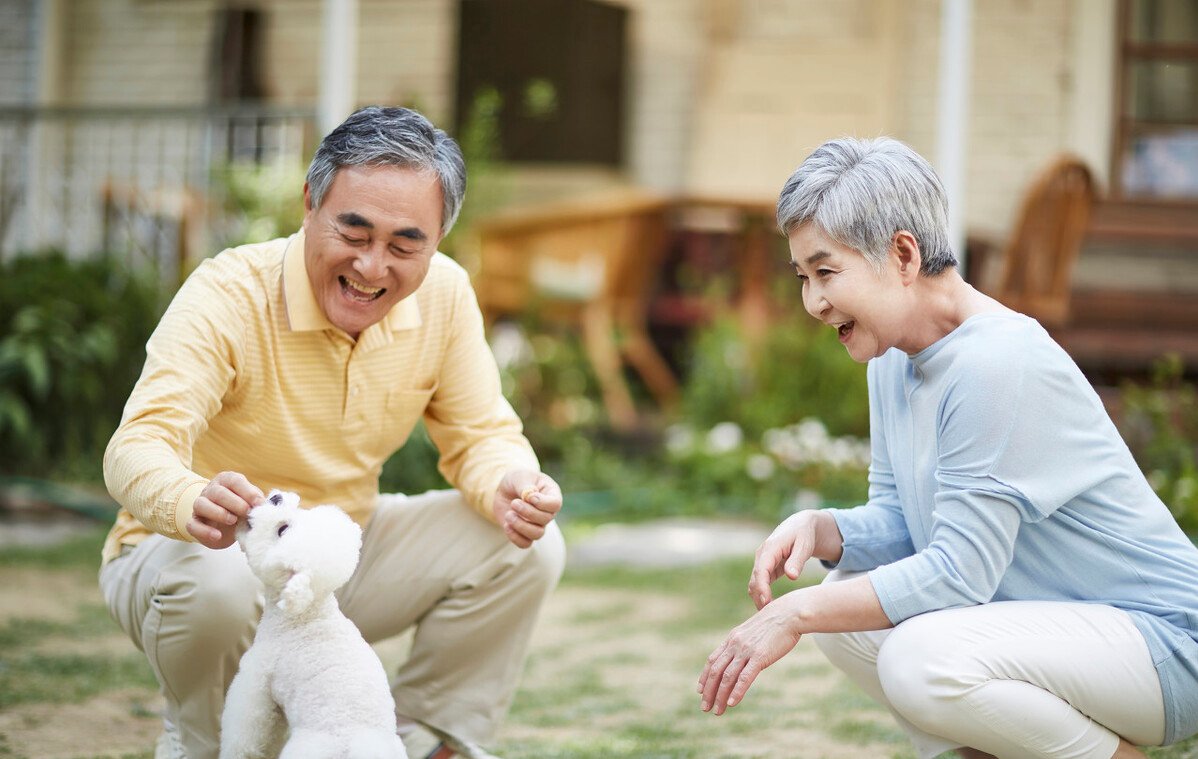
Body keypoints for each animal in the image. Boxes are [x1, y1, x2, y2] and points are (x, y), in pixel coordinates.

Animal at [221, 490, 412, 756]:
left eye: (282, 530)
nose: (276, 497)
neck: (306, 614)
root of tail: (358, 747)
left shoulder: (256, 683)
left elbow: (243, 736)